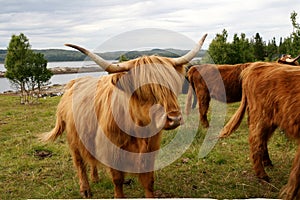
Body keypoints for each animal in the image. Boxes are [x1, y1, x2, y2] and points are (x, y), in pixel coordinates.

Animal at [41, 33, 207, 198]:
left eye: (172, 86)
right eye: (144, 91)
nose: (175, 119)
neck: (138, 131)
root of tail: (73, 83)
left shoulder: (150, 149)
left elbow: (149, 181)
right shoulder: (112, 151)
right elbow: (118, 179)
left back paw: (95, 178)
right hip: (73, 139)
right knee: (79, 162)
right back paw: (85, 189)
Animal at [219, 61, 300, 199]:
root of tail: (257, 64)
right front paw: (290, 194)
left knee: (262, 140)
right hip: (261, 116)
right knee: (256, 141)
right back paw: (263, 176)